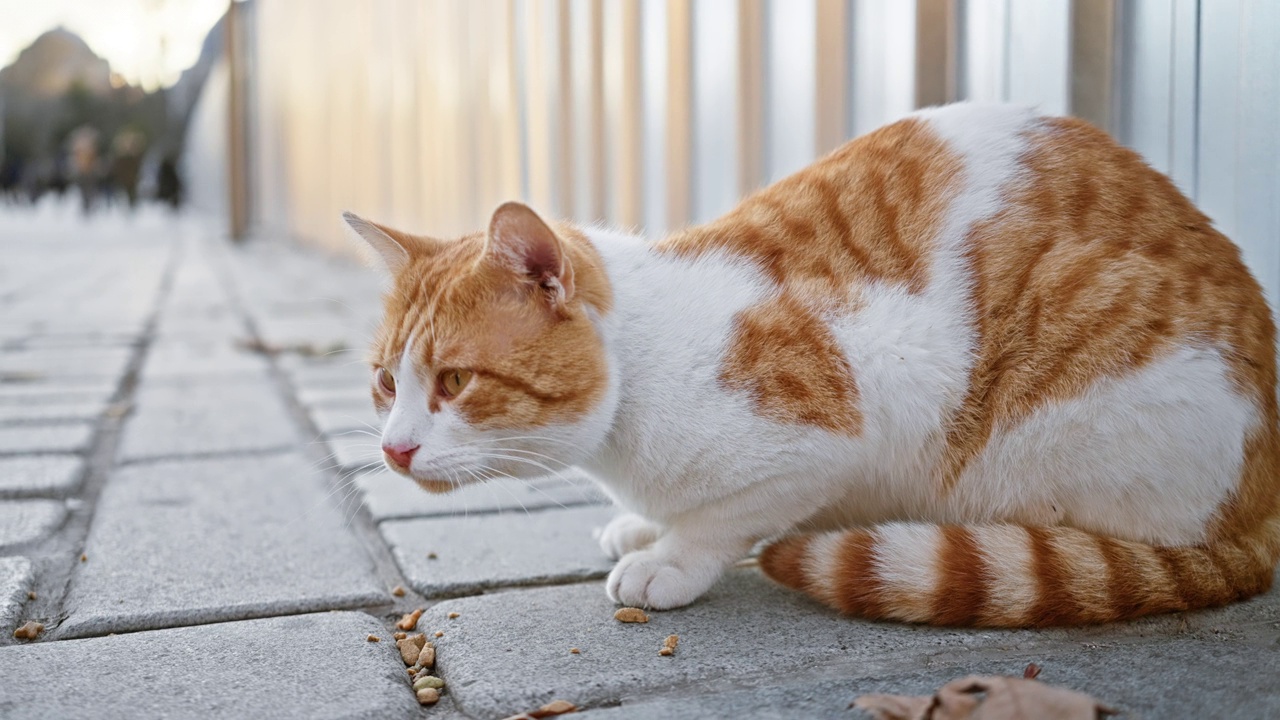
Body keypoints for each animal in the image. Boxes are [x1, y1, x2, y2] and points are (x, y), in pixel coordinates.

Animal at [345, 103, 1274, 625]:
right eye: (387, 382)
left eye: (455, 381)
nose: (393, 448)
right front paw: (643, 526)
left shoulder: (856, 407)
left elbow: (730, 514)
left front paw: (669, 557)